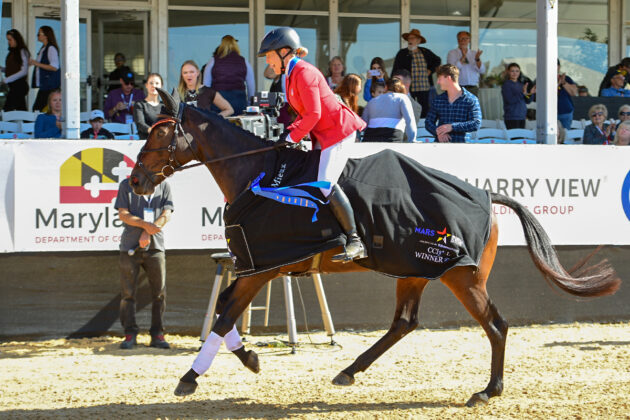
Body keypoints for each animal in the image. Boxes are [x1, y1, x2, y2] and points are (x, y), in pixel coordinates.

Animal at [130, 88, 624, 406]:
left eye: (160, 134)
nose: (135, 182)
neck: (256, 176)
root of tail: (485, 194)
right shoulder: (254, 267)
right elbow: (223, 313)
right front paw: (250, 358)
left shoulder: (264, 268)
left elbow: (223, 316)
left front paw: (190, 377)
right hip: (413, 269)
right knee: (404, 323)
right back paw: (349, 370)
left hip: (461, 275)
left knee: (496, 325)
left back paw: (488, 391)